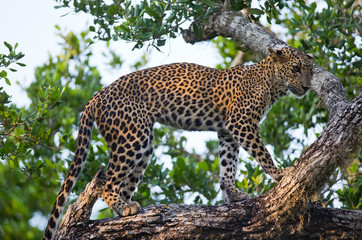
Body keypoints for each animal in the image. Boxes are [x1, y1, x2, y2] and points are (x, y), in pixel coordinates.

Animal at [43, 46, 314, 239]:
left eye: (311, 71)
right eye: (296, 68)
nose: (308, 87)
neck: (272, 84)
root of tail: (96, 96)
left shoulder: (227, 131)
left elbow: (228, 164)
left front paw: (232, 193)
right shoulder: (242, 122)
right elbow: (262, 152)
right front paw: (280, 174)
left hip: (144, 144)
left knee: (124, 184)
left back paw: (128, 208)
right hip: (133, 137)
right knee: (108, 181)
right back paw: (122, 207)